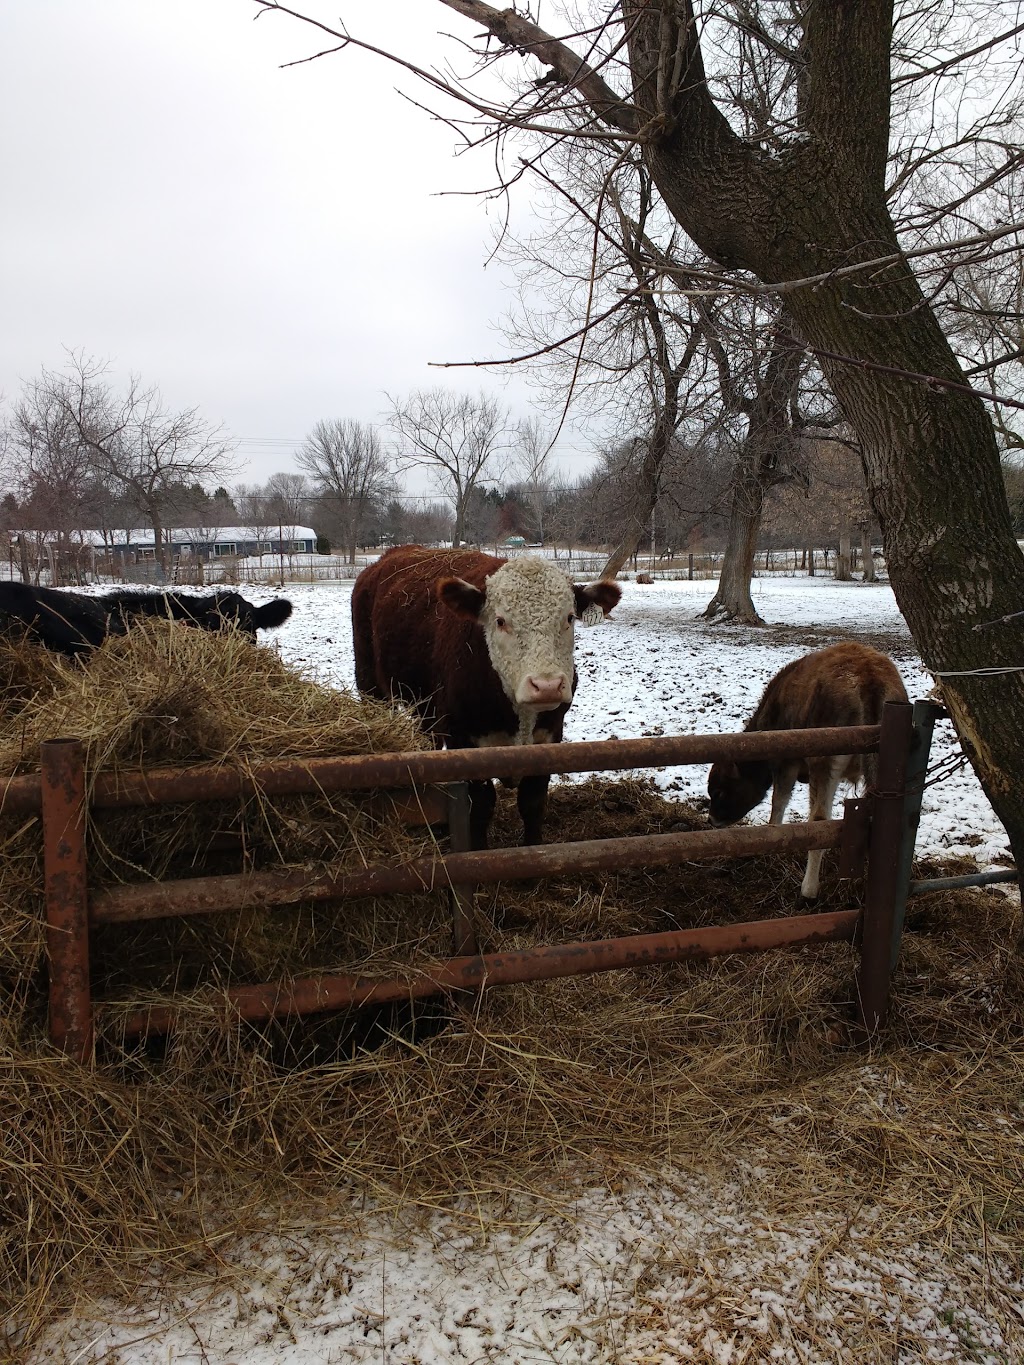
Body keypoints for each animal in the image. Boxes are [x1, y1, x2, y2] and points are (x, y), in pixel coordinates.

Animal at [352, 540, 622, 840]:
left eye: (570, 618)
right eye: (500, 621)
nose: (547, 686)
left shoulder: (550, 737)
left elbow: (532, 803)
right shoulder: (464, 742)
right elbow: (480, 808)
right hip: (369, 683)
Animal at [709, 641, 912, 900]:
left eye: (719, 791)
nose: (712, 819)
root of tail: (868, 676)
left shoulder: (786, 764)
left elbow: (779, 802)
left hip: (823, 764)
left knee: (819, 819)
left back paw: (808, 891)